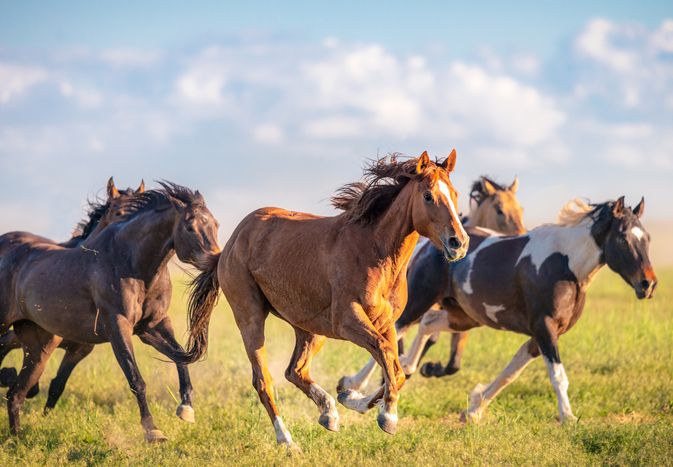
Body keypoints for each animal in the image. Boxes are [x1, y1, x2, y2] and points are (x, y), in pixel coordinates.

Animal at [0, 183, 219, 442]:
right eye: (189, 226)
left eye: (215, 224)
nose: (216, 259)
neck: (130, 264)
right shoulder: (118, 326)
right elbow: (136, 378)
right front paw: (152, 430)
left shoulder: (152, 326)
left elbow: (181, 357)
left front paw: (186, 409)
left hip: (38, 346)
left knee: (16, 394)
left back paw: (16, 439)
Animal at [175, 152, 468, 448]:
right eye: (428, 196)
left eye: (454, 193)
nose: (459, 242)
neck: (375, 253)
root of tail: (230, 244)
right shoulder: (348, 321)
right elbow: (386, 355)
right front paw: (388, 417)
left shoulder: (386, 323)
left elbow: (396, 370)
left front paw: (351, 398)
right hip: (251, 318)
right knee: (263, 380)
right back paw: (287, 440)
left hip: (310, 328)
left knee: (295, 370)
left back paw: (329, 414)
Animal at [336, 176, 524, 392]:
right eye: (500, 210)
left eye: (520, 208)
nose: (522, 233)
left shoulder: (459, 315)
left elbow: (452, 362)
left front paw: (429, 368)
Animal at [400, 197, 656, 424]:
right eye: (623, 239)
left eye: (647, 238)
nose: (648, 284)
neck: (566, 266)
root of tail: (427, 245)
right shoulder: (545, 328)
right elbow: (558, 376)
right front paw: (568, 417)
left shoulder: (540, 335)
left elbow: (510, 374)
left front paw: (473, 411)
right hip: (419, 301)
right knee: (397, 330)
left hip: (464, 316)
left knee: (428, 324)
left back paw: (408, 368)